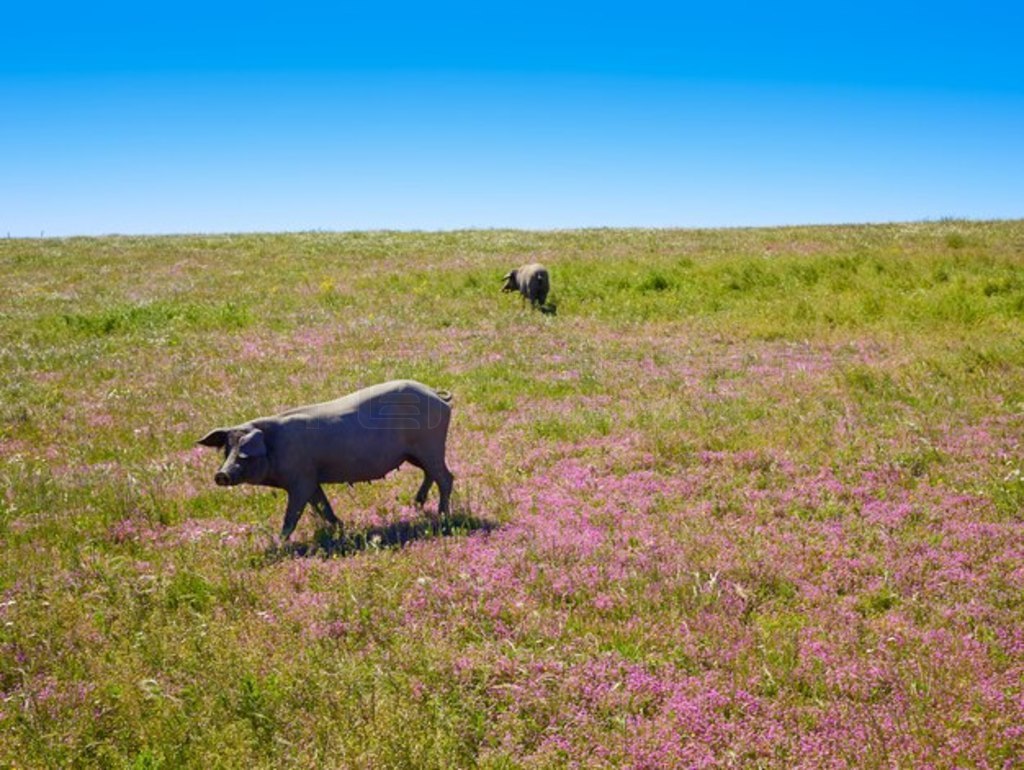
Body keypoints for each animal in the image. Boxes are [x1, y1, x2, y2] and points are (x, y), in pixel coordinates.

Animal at [197, 380, 454, 536]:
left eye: (245, 452)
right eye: (226, 450)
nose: (221, 474)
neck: (274, 445)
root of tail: (437, 395)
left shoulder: (300, 480)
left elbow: (292, 516)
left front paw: (280, 543)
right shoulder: (312, 480)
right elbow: (322, 506)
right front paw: (342, 528)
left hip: (430, 446)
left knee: (446, 478)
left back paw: (442, 516)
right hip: (416, 454)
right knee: (431, 474)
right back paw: (417, 504)